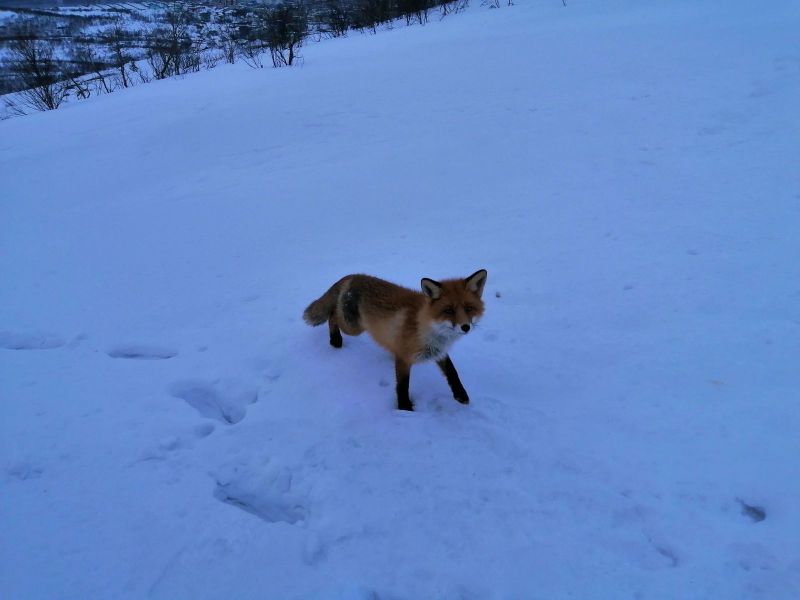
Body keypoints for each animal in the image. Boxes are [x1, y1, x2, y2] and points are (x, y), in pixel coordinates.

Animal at [303, 269, 487, 411]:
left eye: (469, 308)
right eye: (448, 311)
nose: (465, 327)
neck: (423, 324)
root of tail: (353, 275)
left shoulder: (438, 351)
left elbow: (452, 372)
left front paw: (460, 395)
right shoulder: (403, 357)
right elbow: (403, 385)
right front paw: (405, 408)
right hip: (353, 328)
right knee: (332, 316)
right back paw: (335, 340)